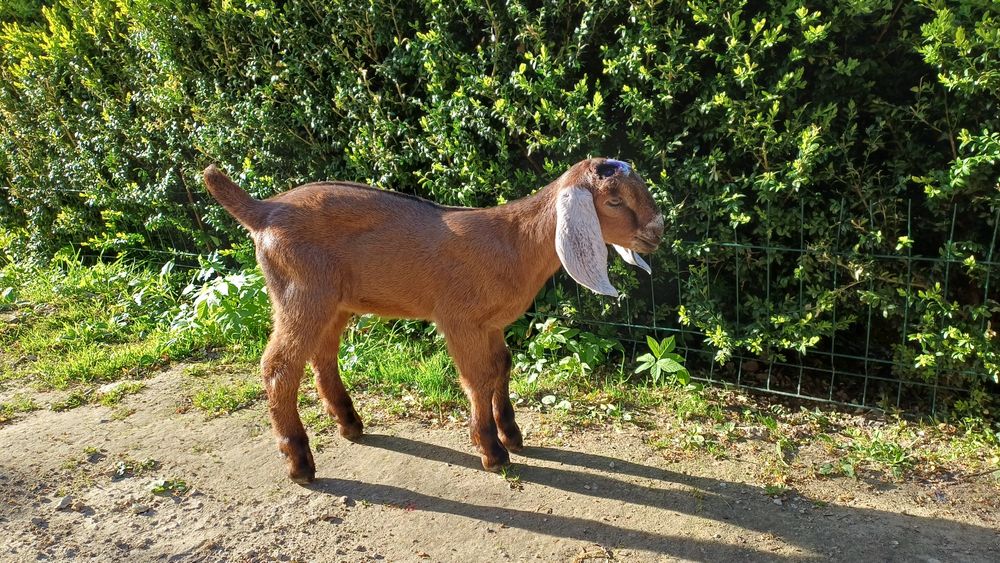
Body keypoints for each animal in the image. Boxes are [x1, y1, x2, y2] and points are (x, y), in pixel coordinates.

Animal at [203, 158, 664, 483]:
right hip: (301, 292)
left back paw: (350, 425)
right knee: (279, 368)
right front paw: (493, 453)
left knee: (323, 356)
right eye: (614, 201)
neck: (513, 242)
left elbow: (501, 367)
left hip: (333, 302)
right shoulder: (459, 319)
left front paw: (512, 435)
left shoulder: (491, 323)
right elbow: (477, 379)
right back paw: (299, 463)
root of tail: (264, 211)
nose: (657, 233)